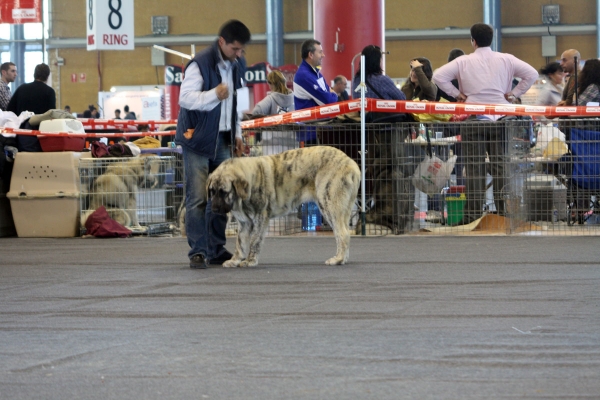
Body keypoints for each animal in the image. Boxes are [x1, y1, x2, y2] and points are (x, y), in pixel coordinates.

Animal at [207, 145, 360, 268]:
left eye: (224, 192)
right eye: (212, 191)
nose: (214, 209)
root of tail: (351, 163)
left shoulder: (260, 218)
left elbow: (254, 241)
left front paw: (250, 261)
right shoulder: (245, 223)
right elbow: (240, 244)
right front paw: (235, 261)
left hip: (329, 204)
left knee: (342, 233)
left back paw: (338, 259)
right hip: (342, 209)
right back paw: (343, 259)